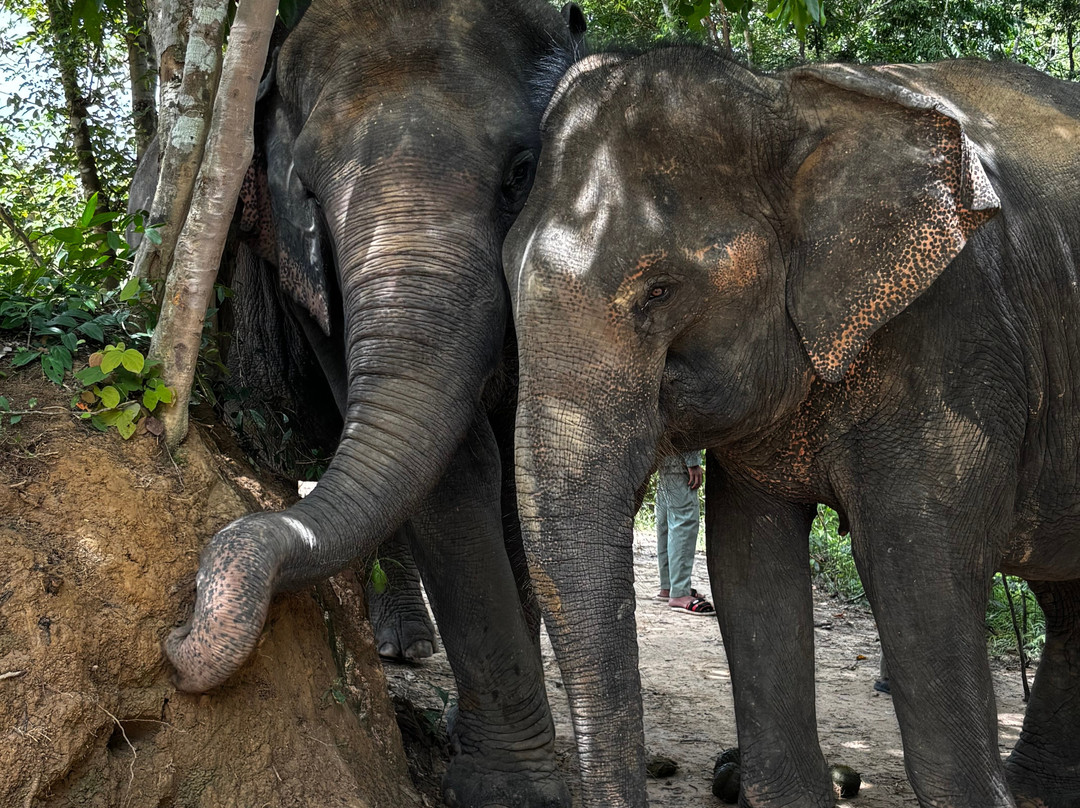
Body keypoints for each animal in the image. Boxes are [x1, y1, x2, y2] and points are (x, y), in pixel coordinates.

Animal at [150, 1, 587, 806]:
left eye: (521, 172)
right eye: (309, 192)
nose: (175, 638)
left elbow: (522, 464)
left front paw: (508, 781)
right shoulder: (308, 279)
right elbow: (457, 469)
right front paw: (508, 787)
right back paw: (400, 646)